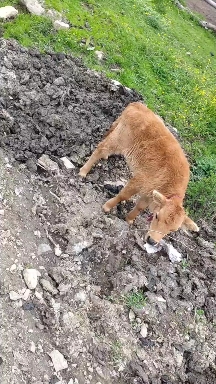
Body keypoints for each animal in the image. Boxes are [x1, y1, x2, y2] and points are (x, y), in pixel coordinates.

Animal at [79, 102, 199, 243]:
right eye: (157, 216)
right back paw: (83, 171)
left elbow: (140, 207)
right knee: (101, 148)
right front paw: (107, 207)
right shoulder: (139, 180)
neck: (169, 185)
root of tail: (137, 105)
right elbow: (123, 195)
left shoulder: (149, 193)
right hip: (119, 140)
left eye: (172, 230)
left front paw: (129, 219)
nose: (152, 241)